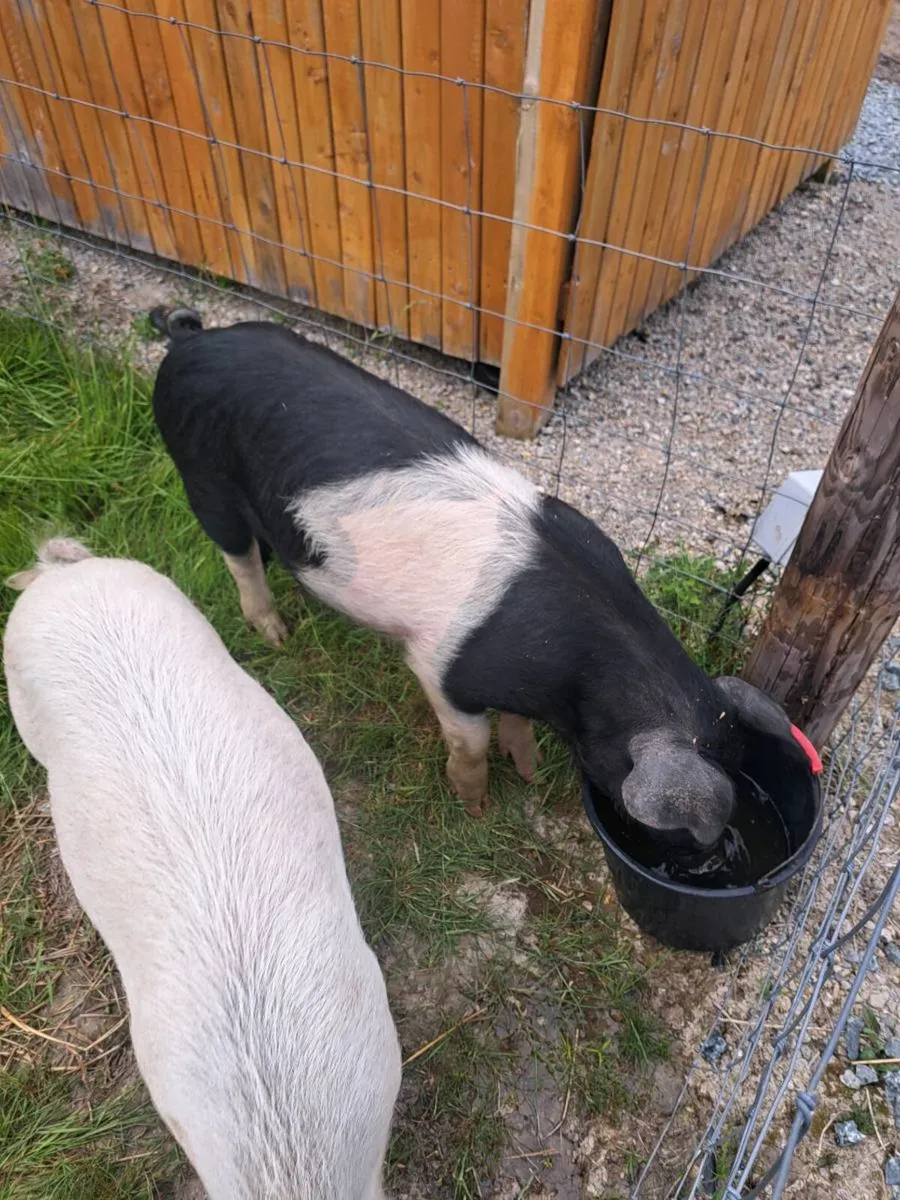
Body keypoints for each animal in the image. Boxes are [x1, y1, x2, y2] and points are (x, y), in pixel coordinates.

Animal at [149, 308, 808, 844]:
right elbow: (471, 741)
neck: (572, 672)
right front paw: (476, 808)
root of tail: (192, 340)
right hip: (200, 473)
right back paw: (275, 633)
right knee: (237, 556)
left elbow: (514, 723)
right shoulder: (440, 667)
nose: (719, 849)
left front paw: (530, 772)